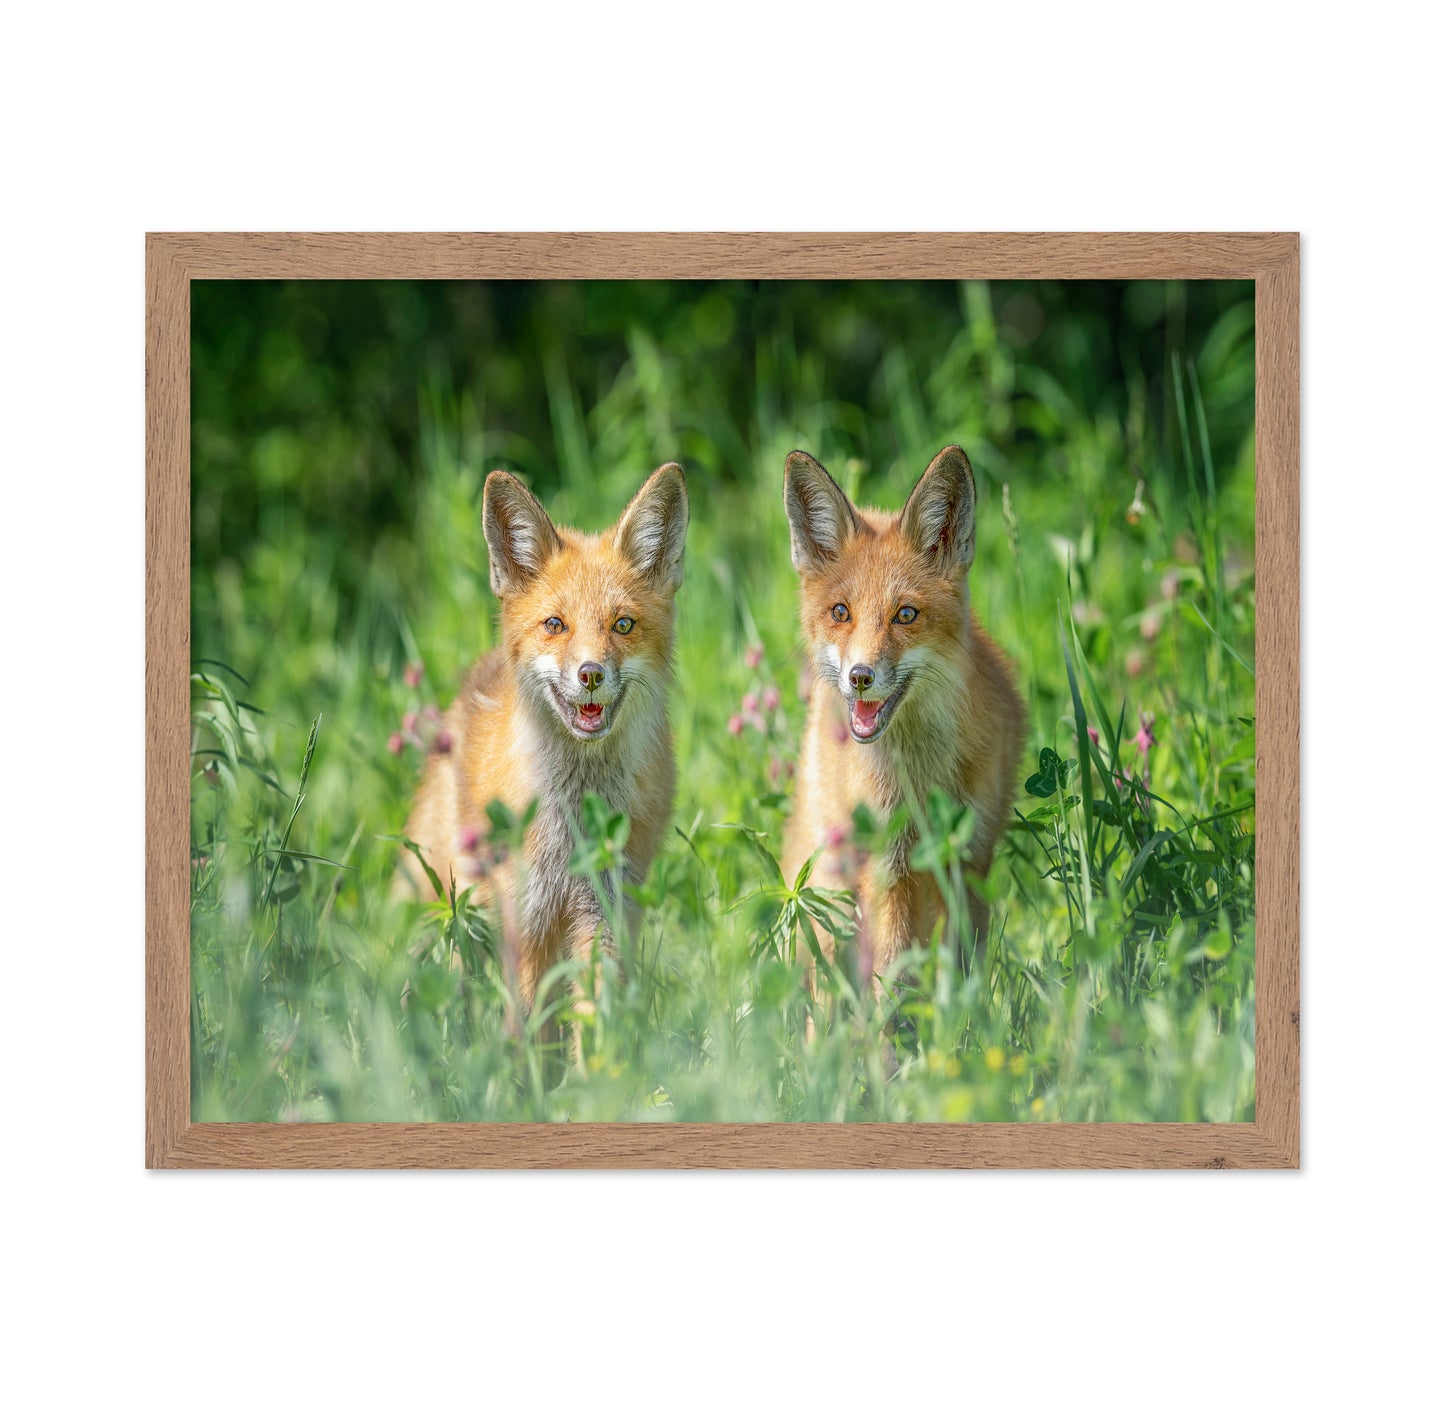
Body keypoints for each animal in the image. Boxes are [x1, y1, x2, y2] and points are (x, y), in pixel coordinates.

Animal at [400, 462, 689, 1015]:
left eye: (623, 624)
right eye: (555, 624)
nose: (591, 674)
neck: (572, 821)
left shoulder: (603, 912)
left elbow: (597, 1018)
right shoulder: (527, 922)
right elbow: (532, 1027)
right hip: (458, 911)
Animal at [781, 445, 1026, 981]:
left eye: (905, 615)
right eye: (841, 612)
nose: (860, 676)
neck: (921, 778)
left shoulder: (969, 860)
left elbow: (961, 972)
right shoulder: (887, 870)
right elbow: (893, 979)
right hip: (833, 889)